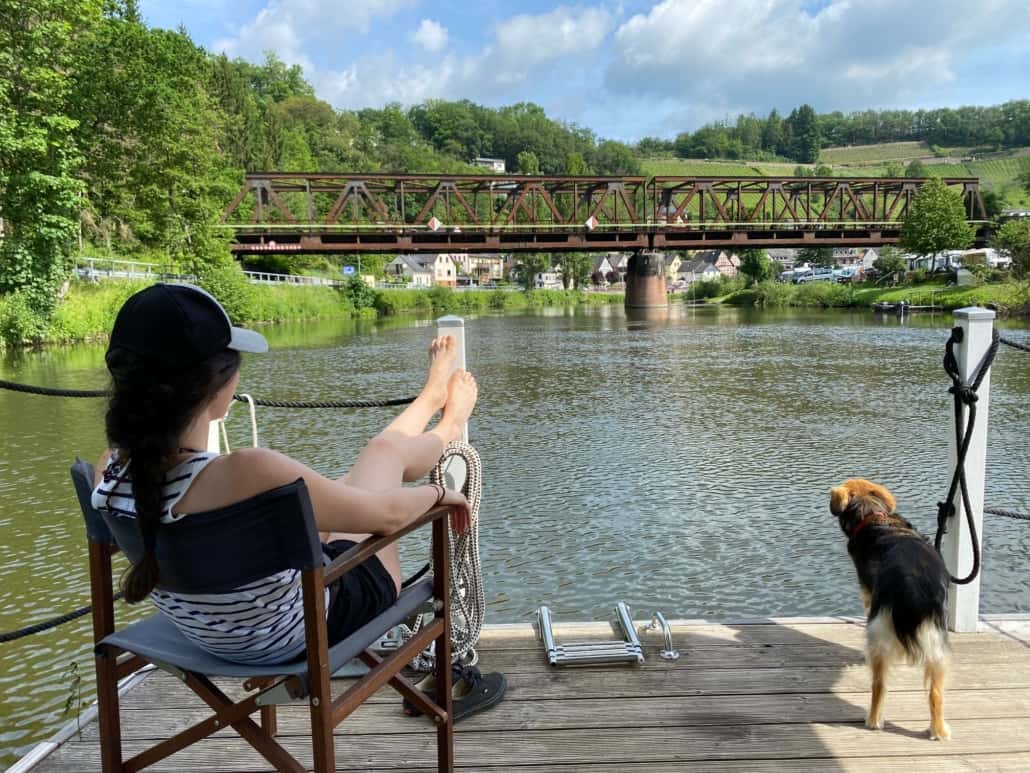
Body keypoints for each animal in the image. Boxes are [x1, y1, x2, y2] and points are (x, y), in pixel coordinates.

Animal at [828, 482, 947, 742]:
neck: (874, 517)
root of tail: (912, 585)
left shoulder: (867, 595)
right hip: (936, 644)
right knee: (935, 693)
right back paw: (939, 730)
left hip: (879, 633)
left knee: (879, 685)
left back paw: (873, 721)